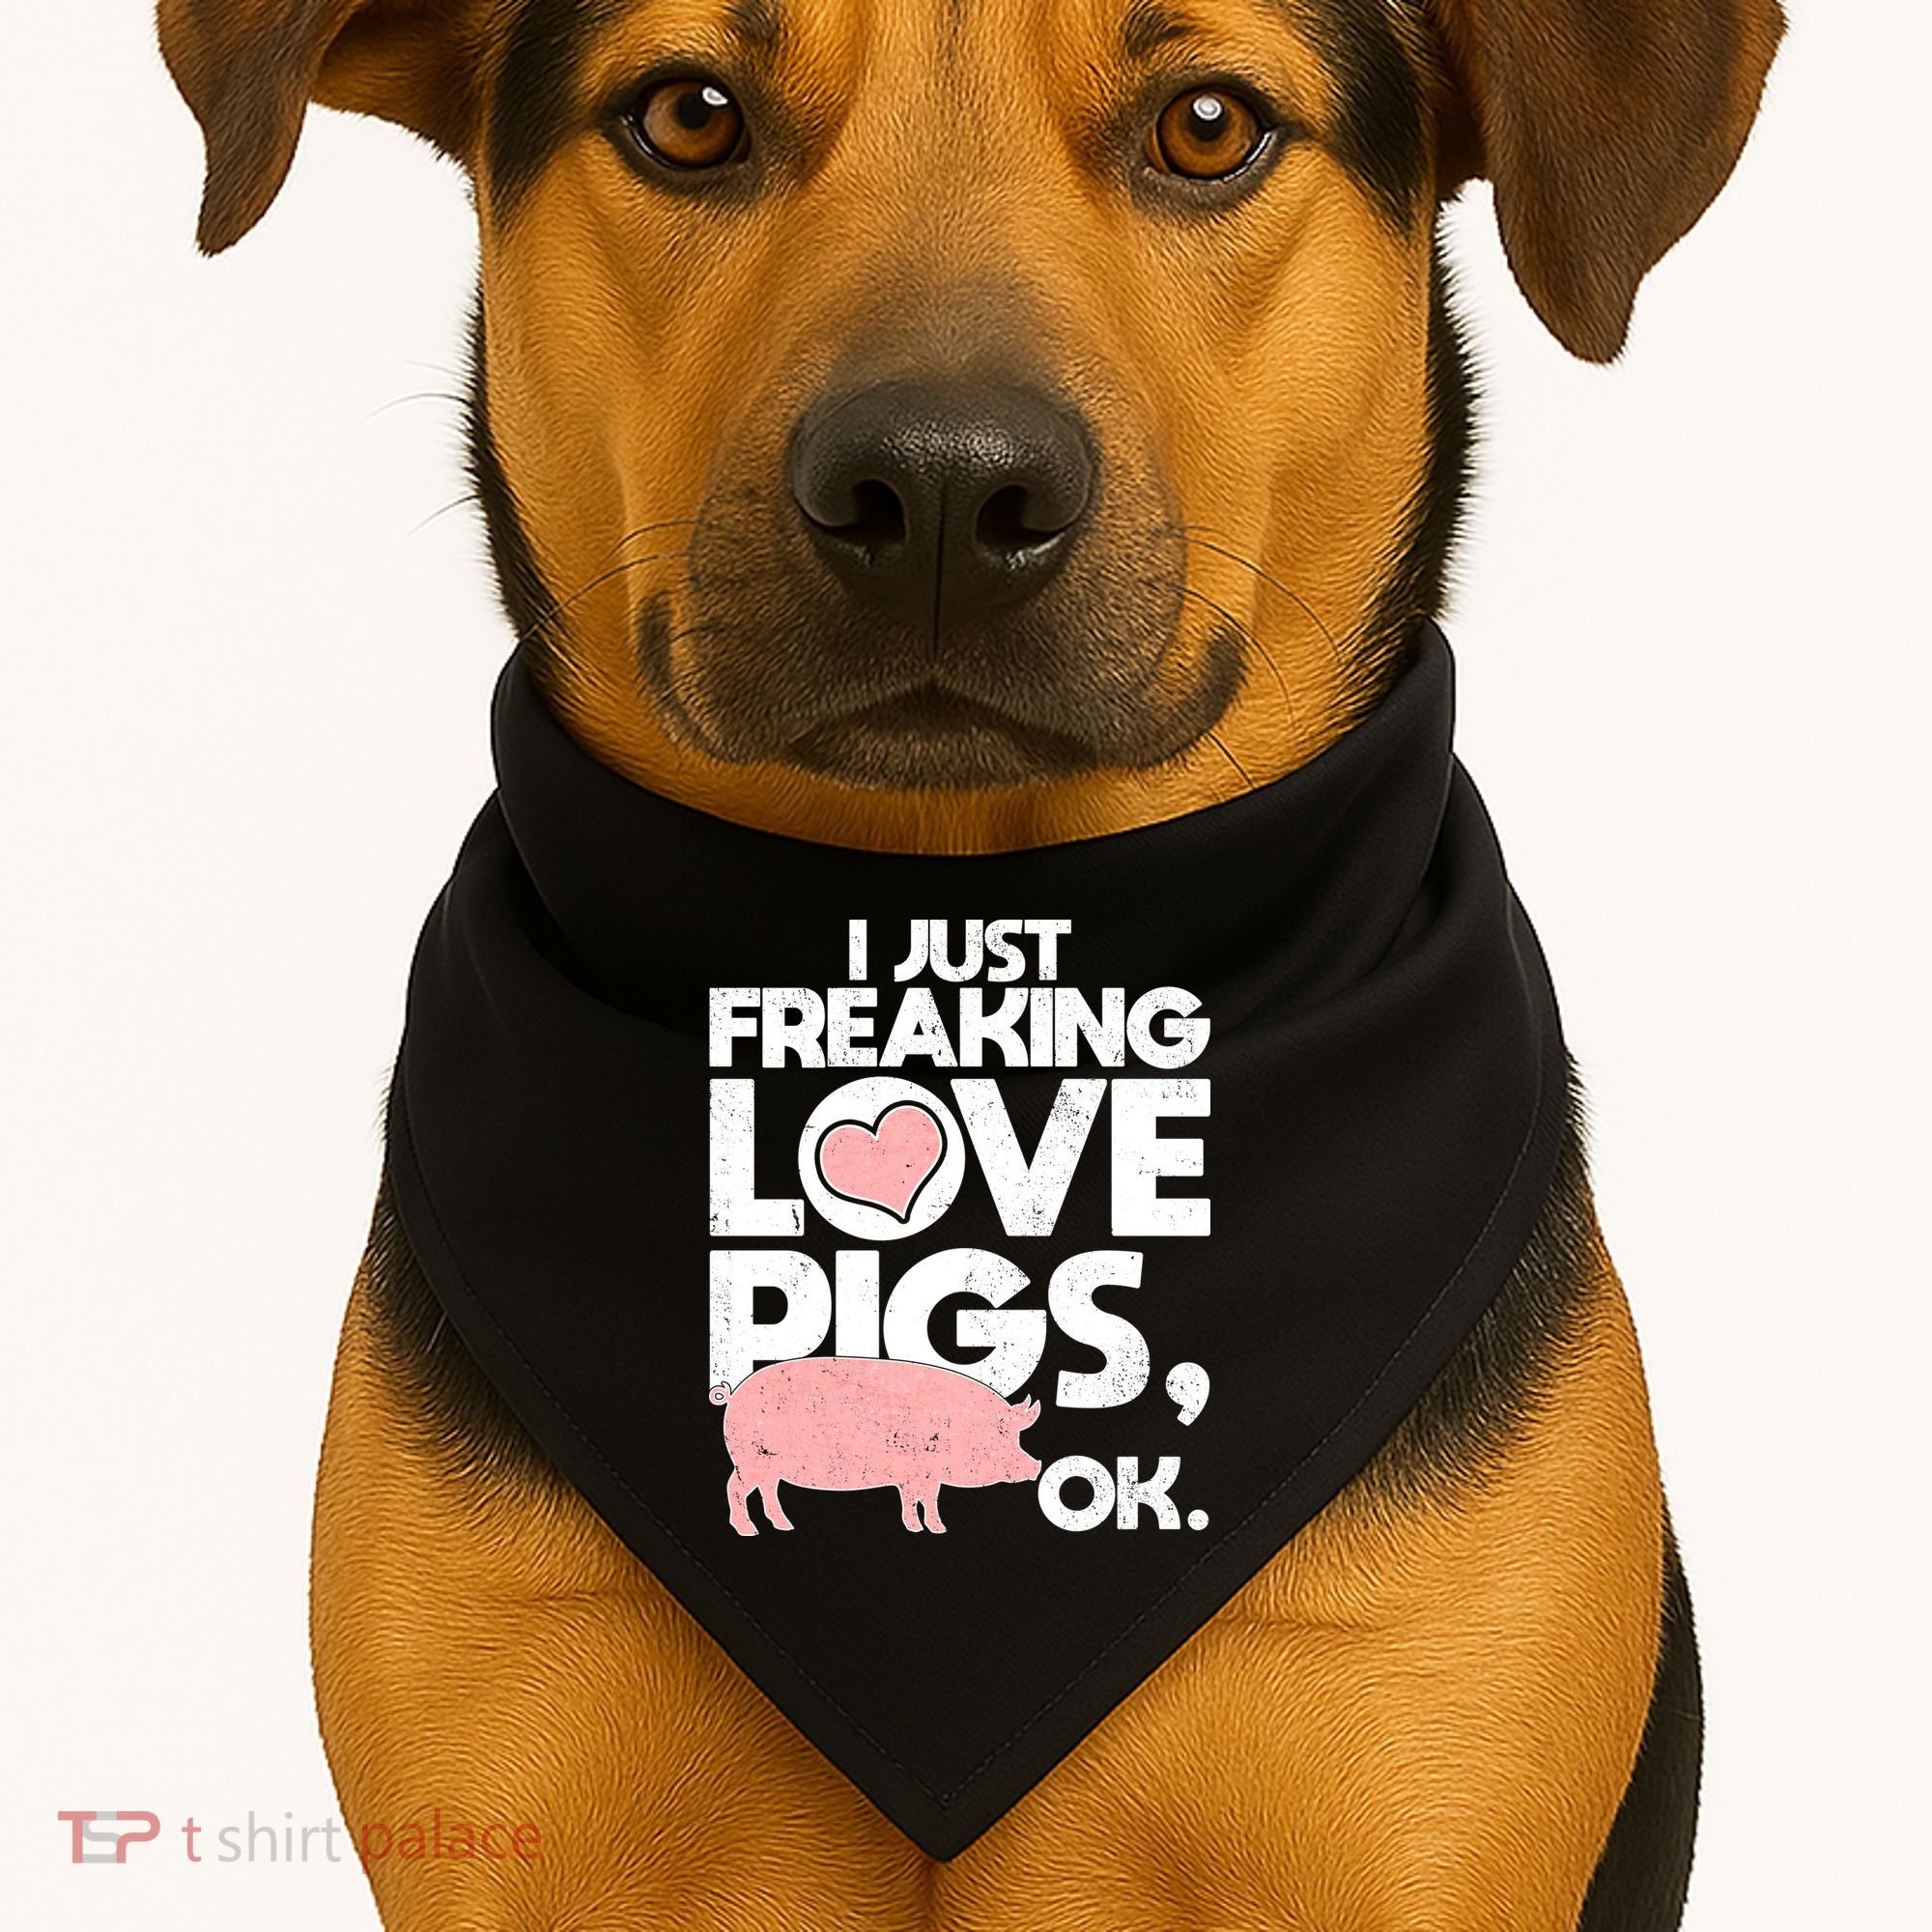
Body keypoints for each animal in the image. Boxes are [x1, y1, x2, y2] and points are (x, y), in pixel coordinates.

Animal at [709, 1357, 1043, 1535]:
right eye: (1001, 1436)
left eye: (1016, 1437)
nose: (1037, 1466)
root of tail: (732, 1396)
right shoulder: (912, 1472)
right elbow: (916, 1499)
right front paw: (925, 1529)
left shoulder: (925, 1476)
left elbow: (925, 1499)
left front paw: (933, 1529)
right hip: (749, 1461)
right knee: (734, 1488)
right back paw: (748, 1530)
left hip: (768, 1466)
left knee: (768, 1490)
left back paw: (784, 1526)